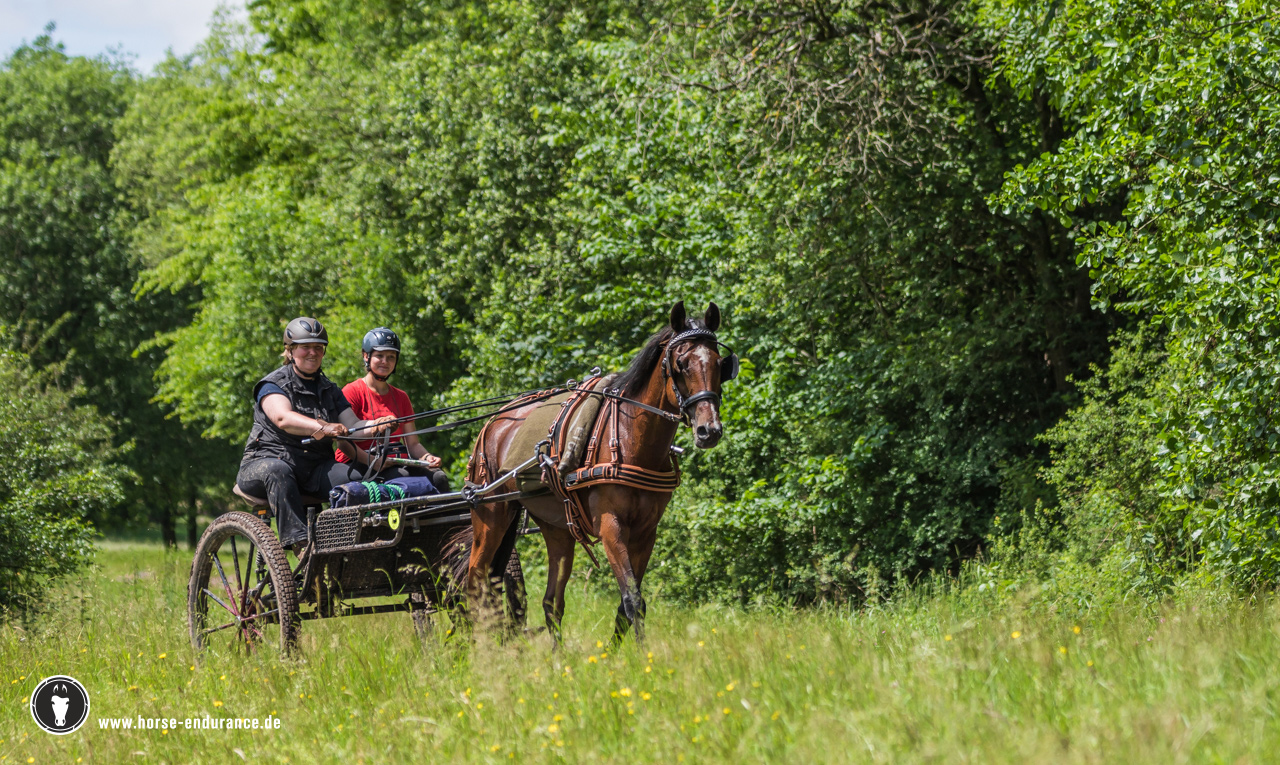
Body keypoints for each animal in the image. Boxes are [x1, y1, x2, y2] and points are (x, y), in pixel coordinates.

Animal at [461, 301, 732, 646]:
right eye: (681, 363)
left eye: (720, 364)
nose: (709, 430)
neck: (631, 437)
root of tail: (494, 423)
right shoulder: (610, 526)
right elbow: (632, 599)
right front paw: (642, 654)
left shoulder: (646, 532)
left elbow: (629, 603)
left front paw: (615, 654)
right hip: (491, 514)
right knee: (475, 582)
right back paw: (475, 646)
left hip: (557, 527)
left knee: (551, 601)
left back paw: (557, 656)